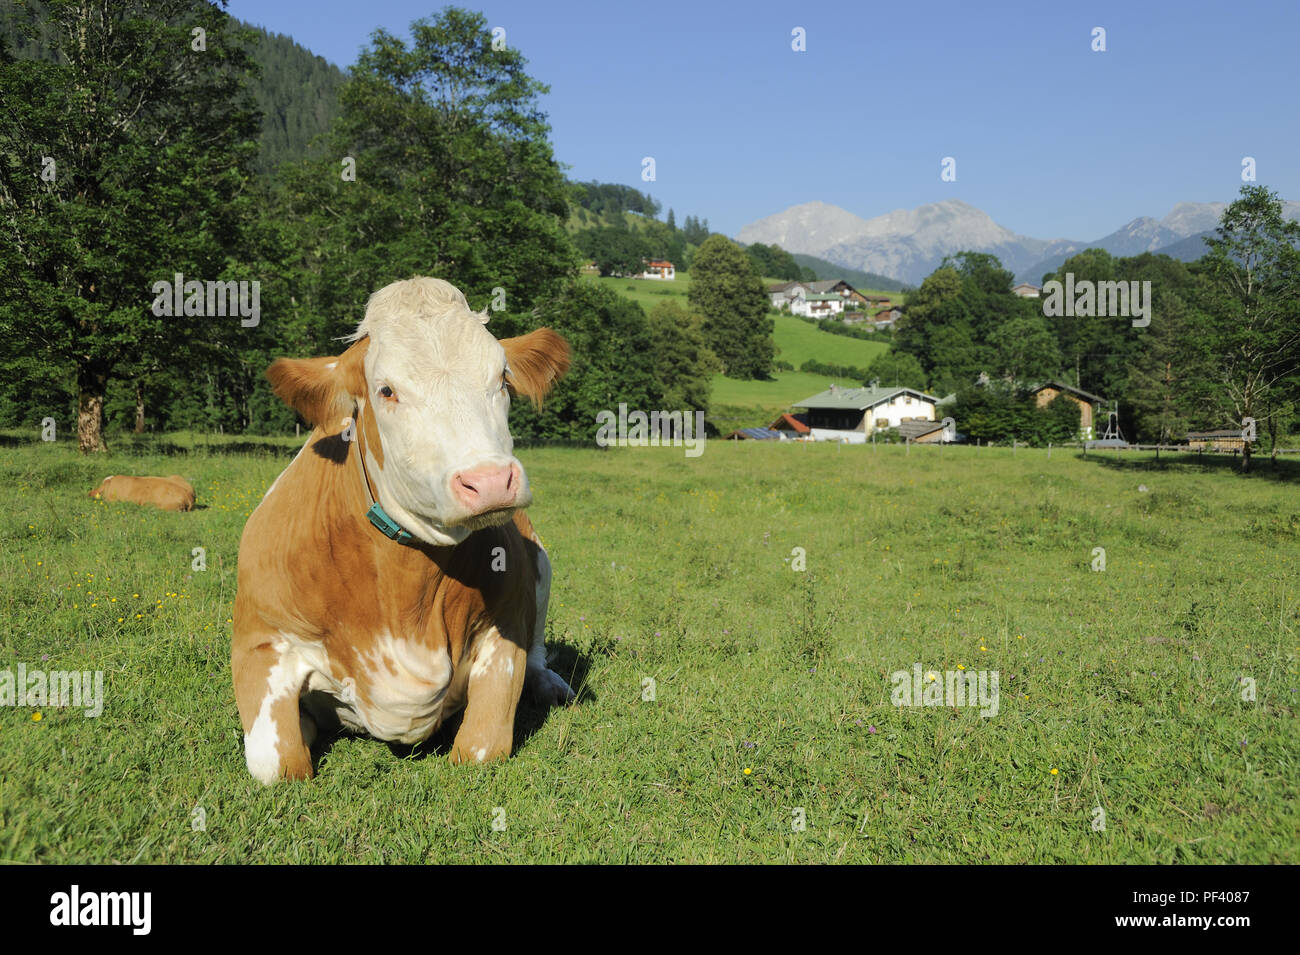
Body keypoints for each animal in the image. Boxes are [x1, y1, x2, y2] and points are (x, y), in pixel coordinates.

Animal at [232, 276, 574, 784]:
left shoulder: (506, 626)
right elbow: (280, 764)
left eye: (502, 378)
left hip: (541, 560)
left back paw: (551, 684)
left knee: (537, 649)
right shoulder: (259, 641)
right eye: (387, 390)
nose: (491, 481)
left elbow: (482, 748)